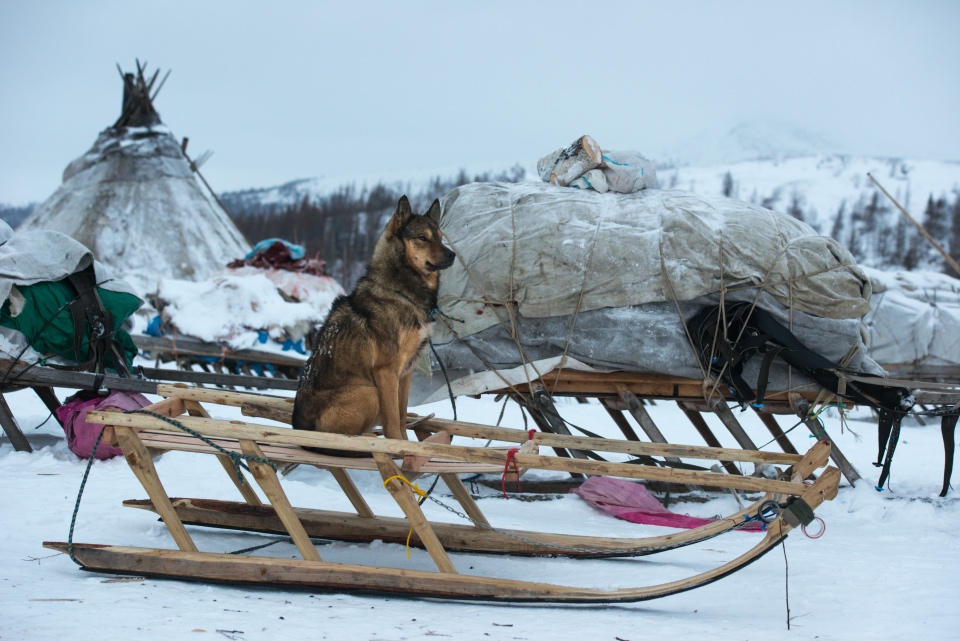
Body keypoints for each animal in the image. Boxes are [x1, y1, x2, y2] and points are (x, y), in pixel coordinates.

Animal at [292, 195, 458, 450]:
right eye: (422, 238)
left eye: (440, 237)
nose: (452, 255)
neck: (402, 292)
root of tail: (300, 431)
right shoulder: (386, 372)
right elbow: (392, 423)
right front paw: (397, 447)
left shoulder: (406, 373)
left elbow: (401, 416)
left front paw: (406, 444)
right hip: (369, 392)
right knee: (339, 438)